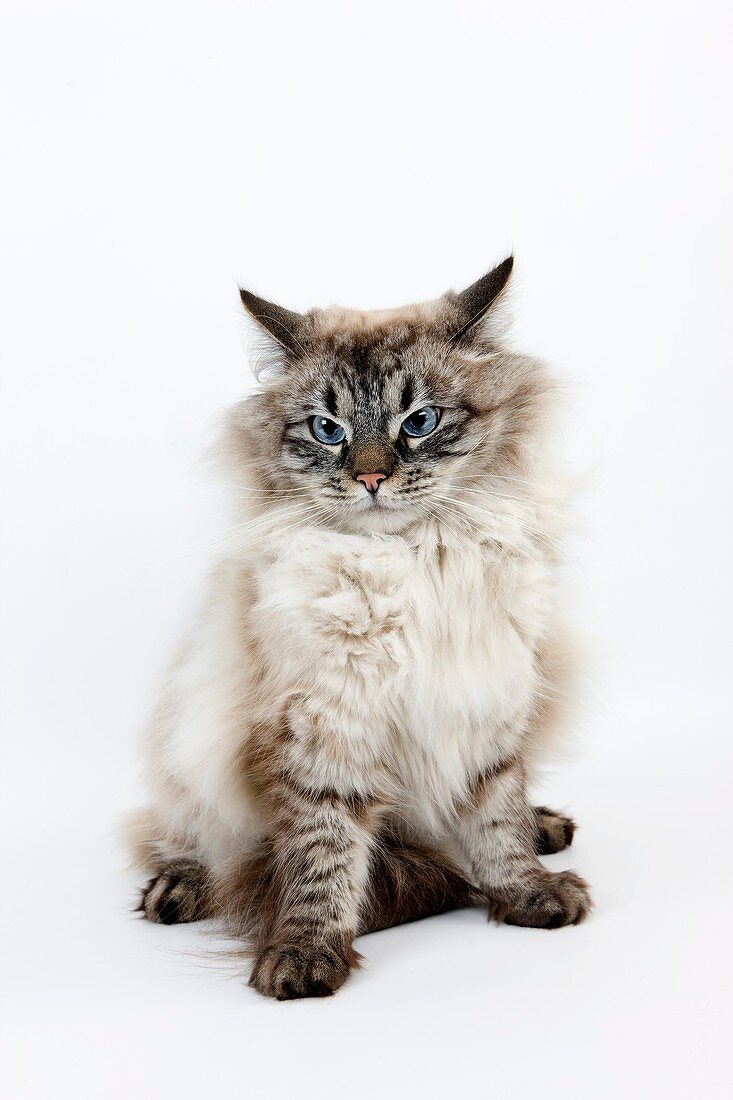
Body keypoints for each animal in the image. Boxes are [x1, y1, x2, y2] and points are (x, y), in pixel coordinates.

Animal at [124, 257, 589, 998]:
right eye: (327, 430)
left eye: (419, 421)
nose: (371, 477)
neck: (408, 563)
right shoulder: (323, 724)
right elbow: (323, 856)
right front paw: (305, 954)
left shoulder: (488, 705)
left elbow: (496, 823)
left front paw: (530, 893)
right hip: (188, 742)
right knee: (184, 835)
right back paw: (178, 889)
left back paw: (546, 826)